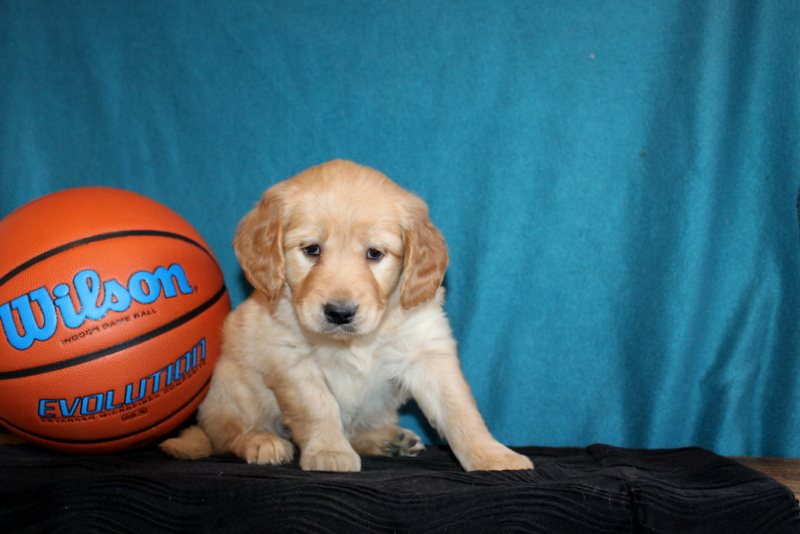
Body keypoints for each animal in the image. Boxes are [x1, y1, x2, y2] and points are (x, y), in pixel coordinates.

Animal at [159, 160, 536, 474]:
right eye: (311, 249)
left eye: (375, 253)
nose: (339, 313)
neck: (356, 341)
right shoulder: (291, 360)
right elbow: (318, 407)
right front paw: (329, 452)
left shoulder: (428, 352)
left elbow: (460, 409)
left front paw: (491, 455)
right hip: (233, 383)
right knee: (225, 435)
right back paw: (261, 441)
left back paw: (388, 440)